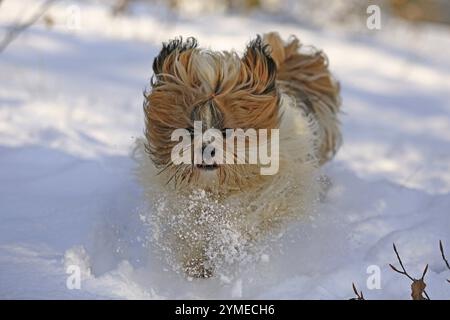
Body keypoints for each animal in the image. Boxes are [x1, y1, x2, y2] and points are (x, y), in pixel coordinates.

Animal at [136, 31, 342, 278]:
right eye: (190, 129)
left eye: (227, 130)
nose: (206, 149)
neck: (216, 189)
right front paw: (196, 262)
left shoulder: (281, 189)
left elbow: (254, 213)